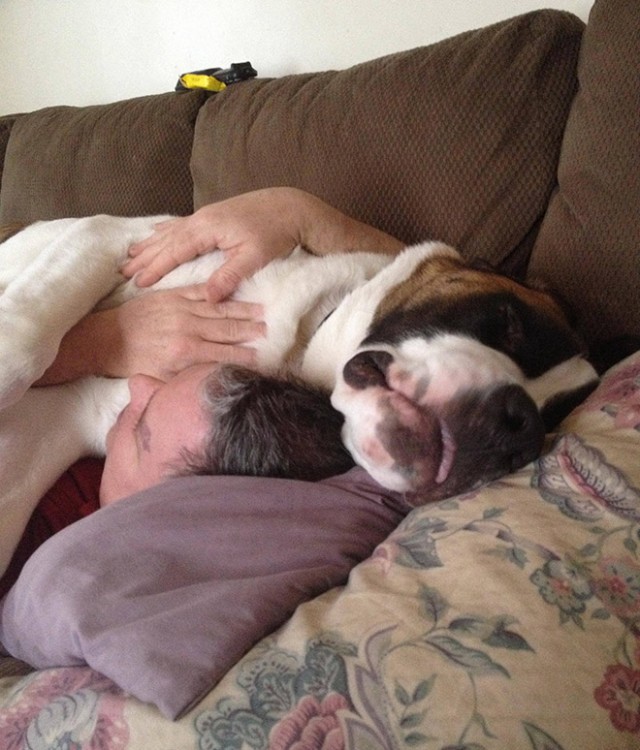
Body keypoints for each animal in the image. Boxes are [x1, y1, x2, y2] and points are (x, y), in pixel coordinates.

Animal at [0, 214, 600, 580]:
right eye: (508, 321)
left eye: (553, 415)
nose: (517, 422)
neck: (303, 342)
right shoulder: (109, 236)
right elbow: (29, 339)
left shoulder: (62, 421)